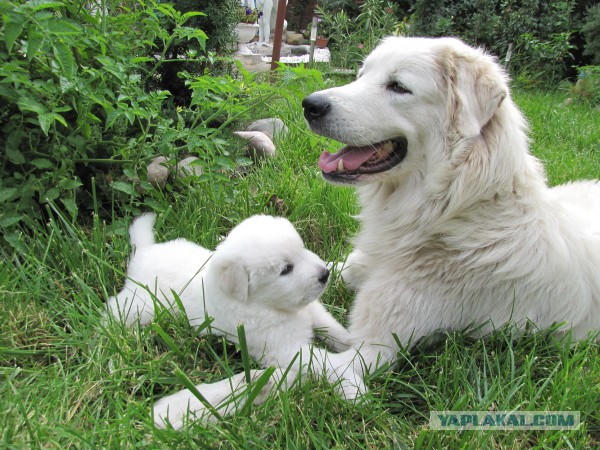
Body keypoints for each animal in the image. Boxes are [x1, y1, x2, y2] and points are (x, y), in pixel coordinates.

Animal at [106, 214, 352, 428]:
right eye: (286, 269)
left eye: (302, 249)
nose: (325, 274)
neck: (269, 306)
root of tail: (142, 255)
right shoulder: (287, 348)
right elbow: (324, 361)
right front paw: (353, 386)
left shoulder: (311, 310)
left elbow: (330, 326)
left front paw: (349, 341)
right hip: (140, 306)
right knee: (113, 309)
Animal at [300, 36, 600, 390]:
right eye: (361, 75)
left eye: (398, 86)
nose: (309, 104)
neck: (454, 210)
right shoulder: (353, 268)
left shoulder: (366, 353)